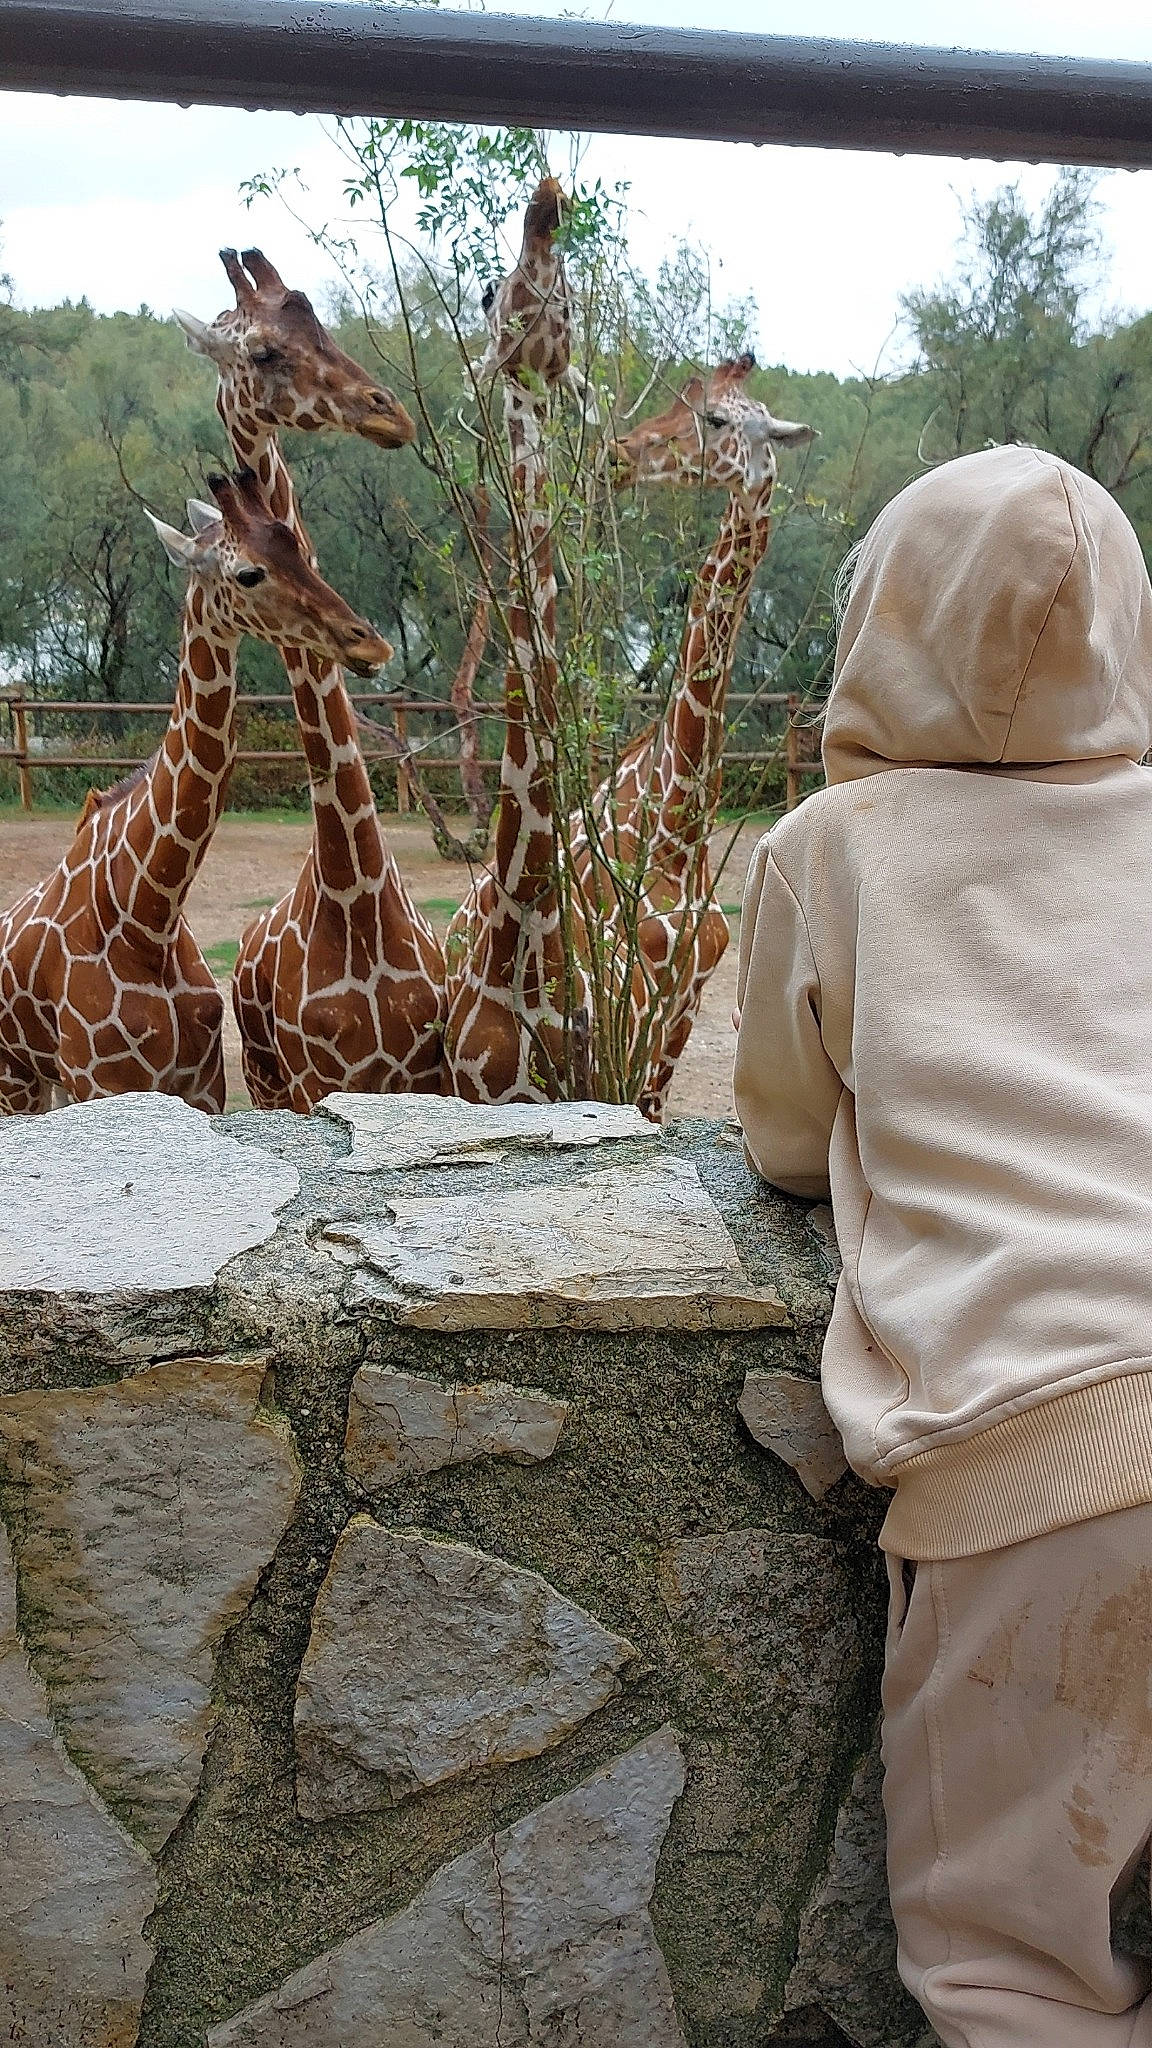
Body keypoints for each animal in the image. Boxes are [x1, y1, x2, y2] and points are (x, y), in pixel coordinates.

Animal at [0, 469, 392, 1116]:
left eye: (302, 552)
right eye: (249, 573)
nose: (368, 643)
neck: (148, 914)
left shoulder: (202, 1085)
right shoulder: (100, 1079)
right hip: (18, 1078)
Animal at [176, 249, 446, 1108]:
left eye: (323, 322)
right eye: (264, 351)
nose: (387, 412)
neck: (355, 901)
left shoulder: (425, 1072)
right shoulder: (323, 1079)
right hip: (267, 1081)